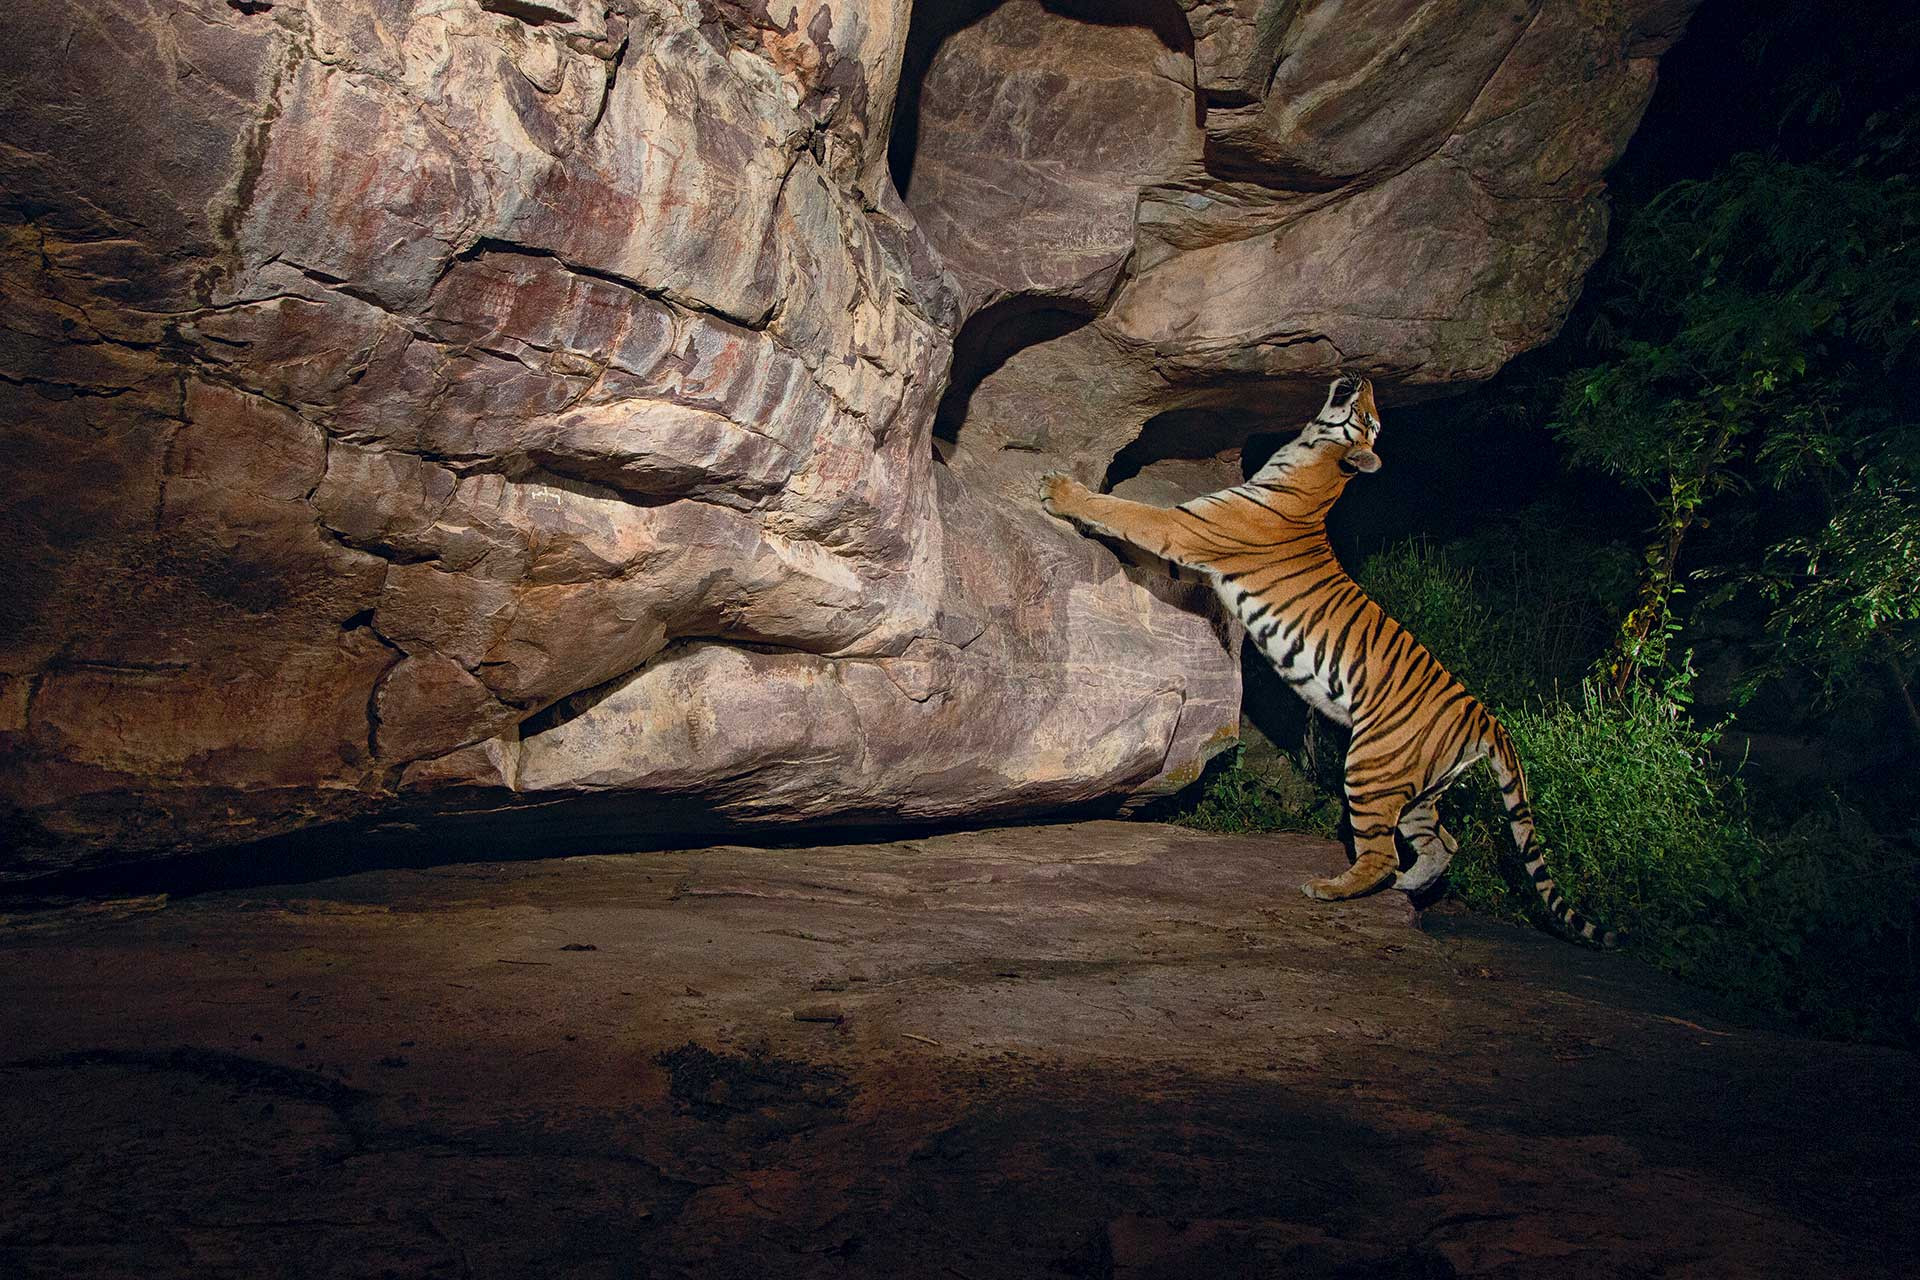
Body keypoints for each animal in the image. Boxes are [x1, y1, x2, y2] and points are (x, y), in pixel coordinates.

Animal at [1039, 374, 1618, 946]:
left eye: (1369, 417)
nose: (1361, 378)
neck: (1310, 462)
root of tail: (1486, 716)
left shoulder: (1189, 530)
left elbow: (1130, 514)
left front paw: (1058, 492)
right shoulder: (1193, 555)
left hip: (1370, 767)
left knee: (1382, 853)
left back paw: (1330, 889)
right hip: (1420, 791)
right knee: (1443, 843)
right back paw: (1406, 887)